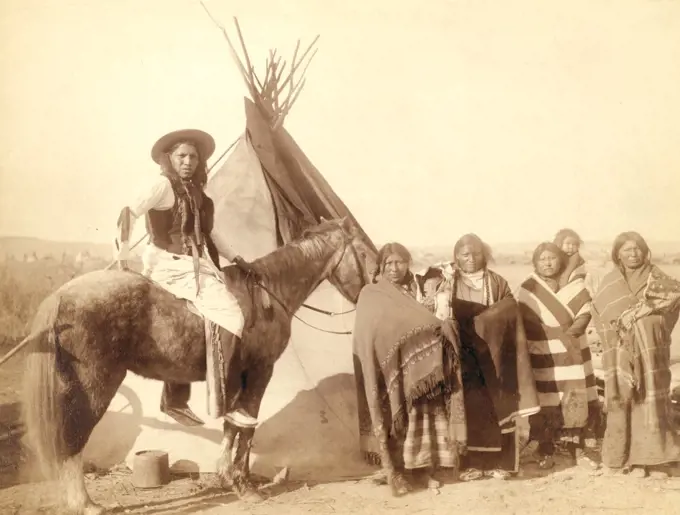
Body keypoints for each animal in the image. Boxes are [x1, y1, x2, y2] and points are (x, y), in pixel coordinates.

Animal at [19, 219, 378, 515]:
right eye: (363, 251)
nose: (374, 286)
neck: (268, 297)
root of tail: (62, 295)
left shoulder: (236, 380)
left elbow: (232, 426)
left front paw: (228, 477)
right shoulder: (259, 372)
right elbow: (247, 426)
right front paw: (245, 485)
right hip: (96, 384)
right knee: (74, 436)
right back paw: (85, 503)